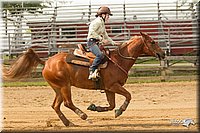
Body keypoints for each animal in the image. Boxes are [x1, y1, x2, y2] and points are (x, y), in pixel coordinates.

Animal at [3, 32, 165, 125]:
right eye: (152, 42)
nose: (162, 54)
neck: (118, 60)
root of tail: (46, 62)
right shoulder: (113, 86)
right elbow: (128, 96)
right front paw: (120, 111)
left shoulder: (108, 89)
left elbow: (111, 105)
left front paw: (95, 107)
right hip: (64, 86)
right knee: (68, 103)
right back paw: (85, 117)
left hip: (58, 88)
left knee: (56, 105)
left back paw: (69, 123)